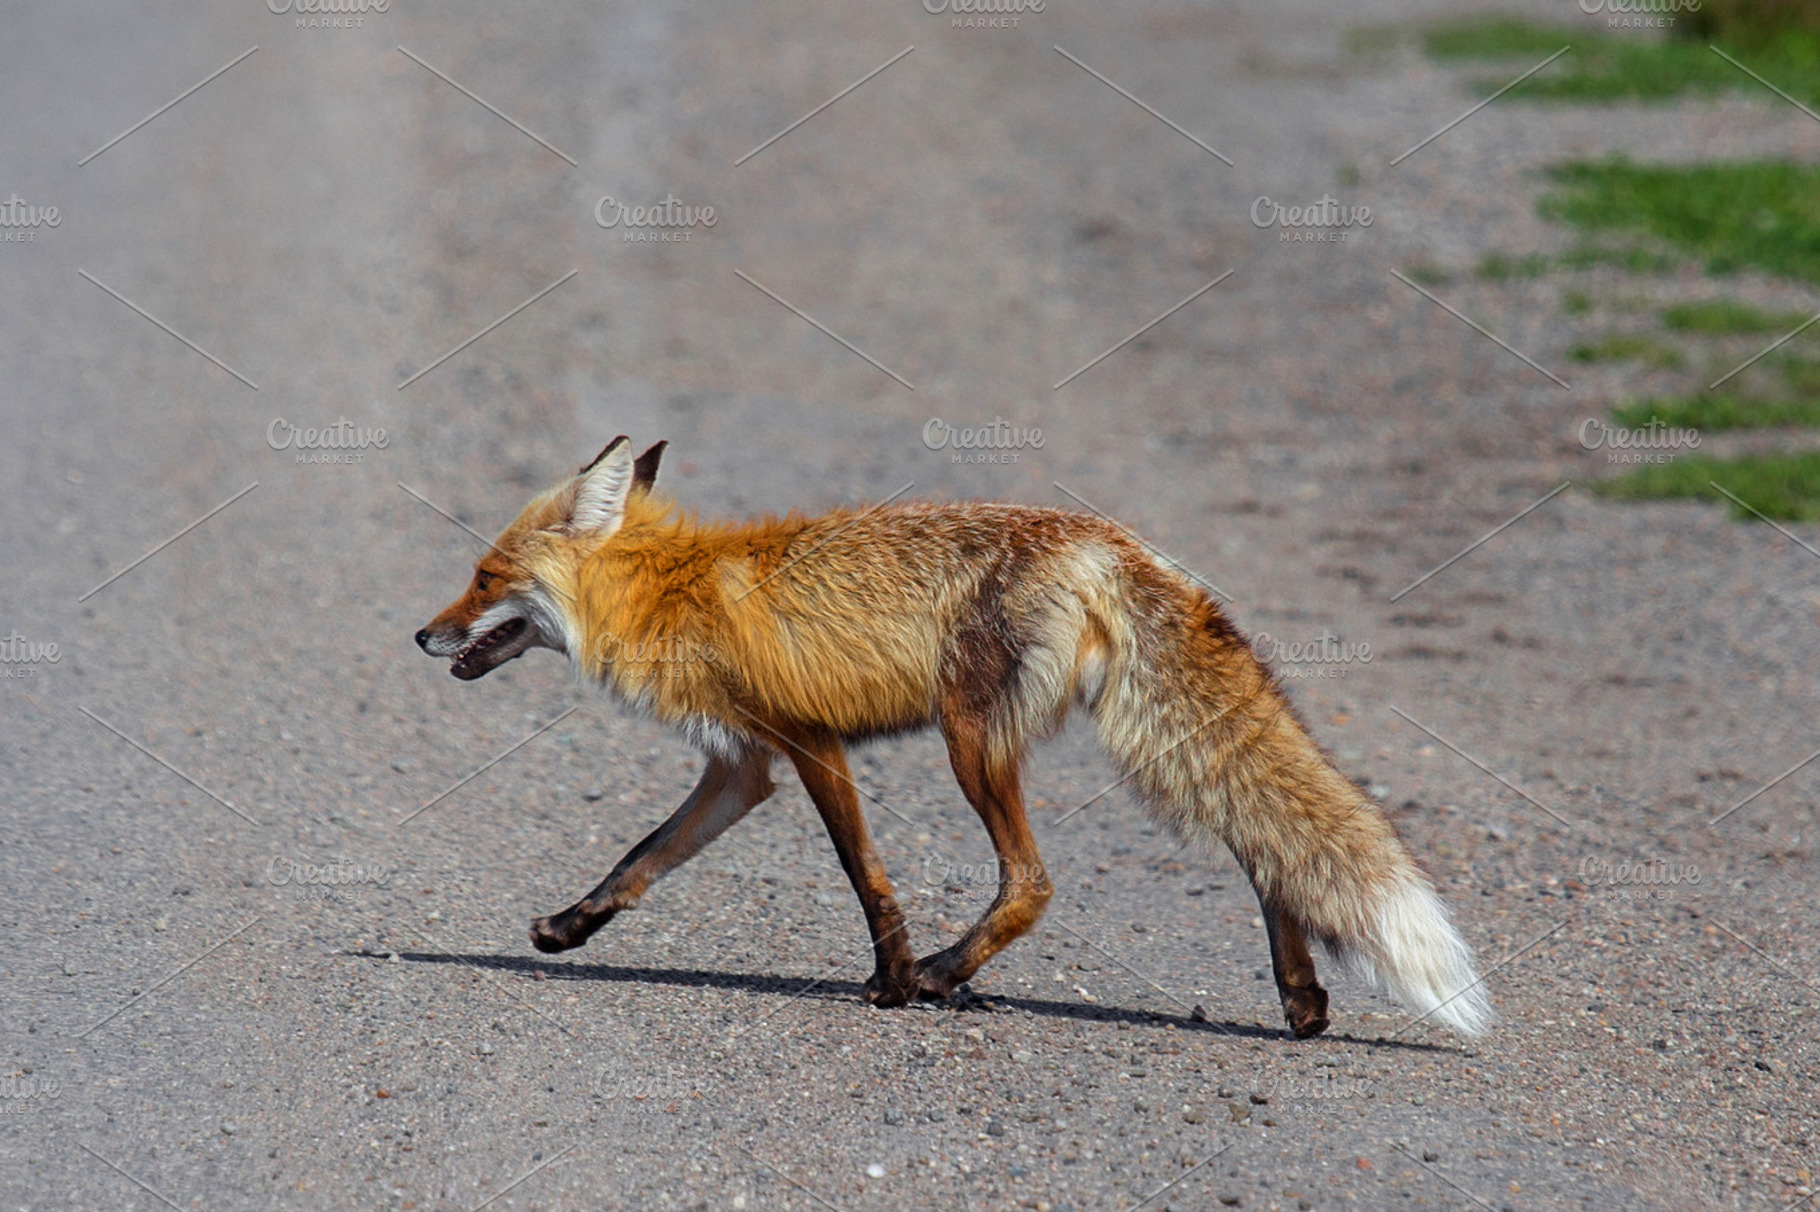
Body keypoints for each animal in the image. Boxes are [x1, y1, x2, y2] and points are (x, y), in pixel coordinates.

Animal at [415, 436, 1492, 1038]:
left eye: (482, 576)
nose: (421, 637)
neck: (669, 590)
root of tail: (1114, 540)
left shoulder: (809, 741)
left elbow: (867, 879)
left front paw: (893, 982)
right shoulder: (743, 766)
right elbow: (639, 860)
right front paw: (569, 928)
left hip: (971, 742)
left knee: (1033, 883)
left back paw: (942, 974)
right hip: (1113, 741)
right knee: (1265, 851)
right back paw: (1300, 1002)